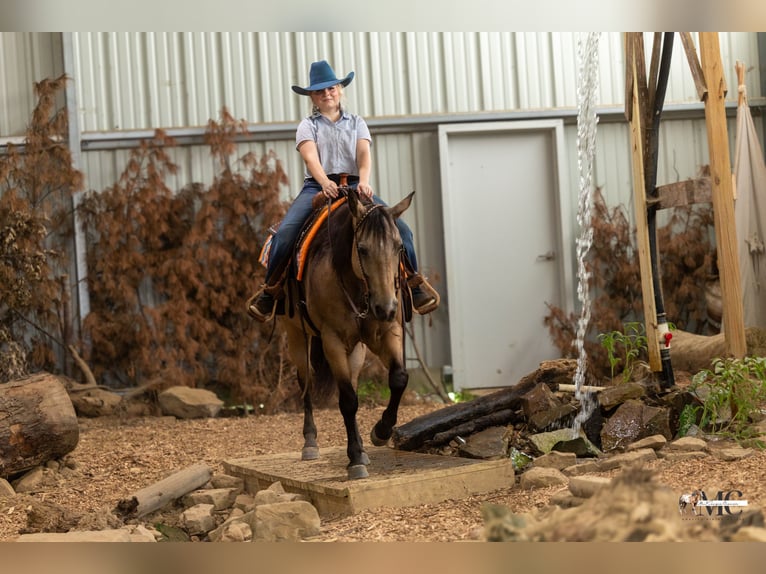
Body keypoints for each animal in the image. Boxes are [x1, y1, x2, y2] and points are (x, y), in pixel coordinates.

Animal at [280, 187, 414, 480]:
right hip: (297, 336)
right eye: (362, 249)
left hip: (357, 349)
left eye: (399, 247)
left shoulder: (388, 332)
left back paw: (363, 447)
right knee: (306, 381)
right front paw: (354, 461)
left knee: (351, 381)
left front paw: (380, 432)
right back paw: (310, 442)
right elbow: (348, 401)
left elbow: (398, 379)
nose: (386, 308)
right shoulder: (332, 340)